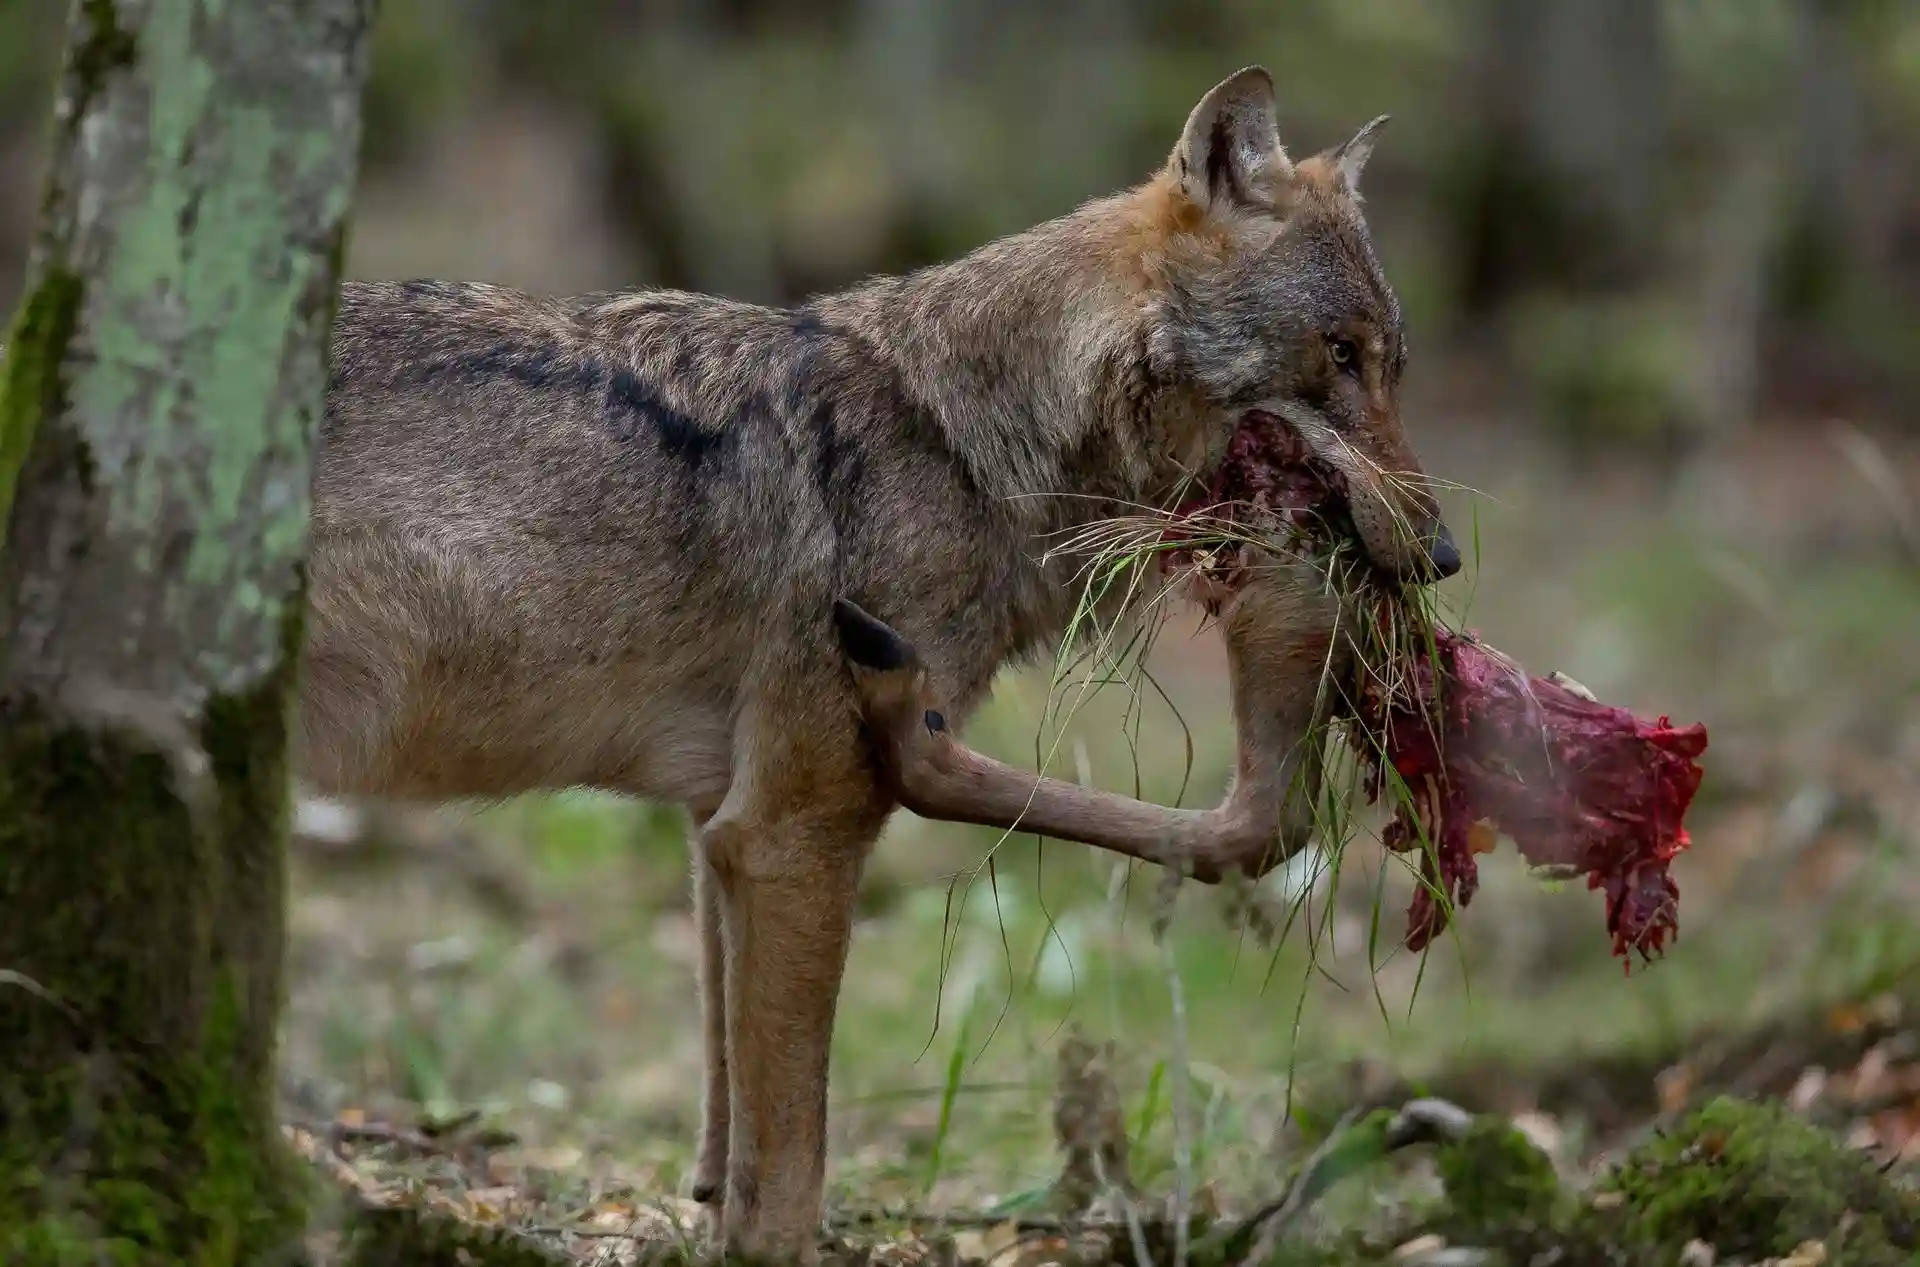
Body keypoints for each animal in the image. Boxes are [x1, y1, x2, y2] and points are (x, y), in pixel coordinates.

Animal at [303, 66, 1451, 1259]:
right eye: (1341, 354)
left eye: (1393, 363)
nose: (1445, 556)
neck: (967, 448)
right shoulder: (792, 832)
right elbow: (792, 1177)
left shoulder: (719, 827)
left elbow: (730, 1136)